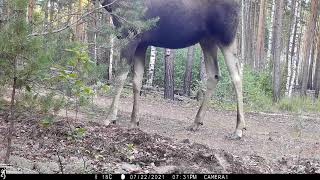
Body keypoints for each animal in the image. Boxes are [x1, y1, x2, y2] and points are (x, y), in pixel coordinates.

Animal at [97, 0, 245, 139]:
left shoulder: (131, 34)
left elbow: (120, 77)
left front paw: (110, 118)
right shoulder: (142, 42)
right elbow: (137, 82)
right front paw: (134, 121)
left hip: (226, 36)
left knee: (236, 76)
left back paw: (239, 128)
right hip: (207, 39)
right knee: (214, 75)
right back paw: (197, 122)